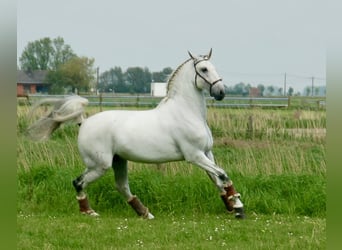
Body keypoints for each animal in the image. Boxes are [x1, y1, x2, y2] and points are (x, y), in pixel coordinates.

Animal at [28, 49, 246, 218]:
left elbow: (218, 180)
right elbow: (223, 175)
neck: (187, 112)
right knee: (79, 182)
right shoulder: (194, 155)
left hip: (118, 161)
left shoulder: (207, 153)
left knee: (121, 186)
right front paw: (238, 207)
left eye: (213, 66)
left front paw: (231, 205)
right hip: (100, 165)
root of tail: (84, 122)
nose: (220, 92)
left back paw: (145, 214)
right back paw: (89, 212)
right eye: (203, 69)